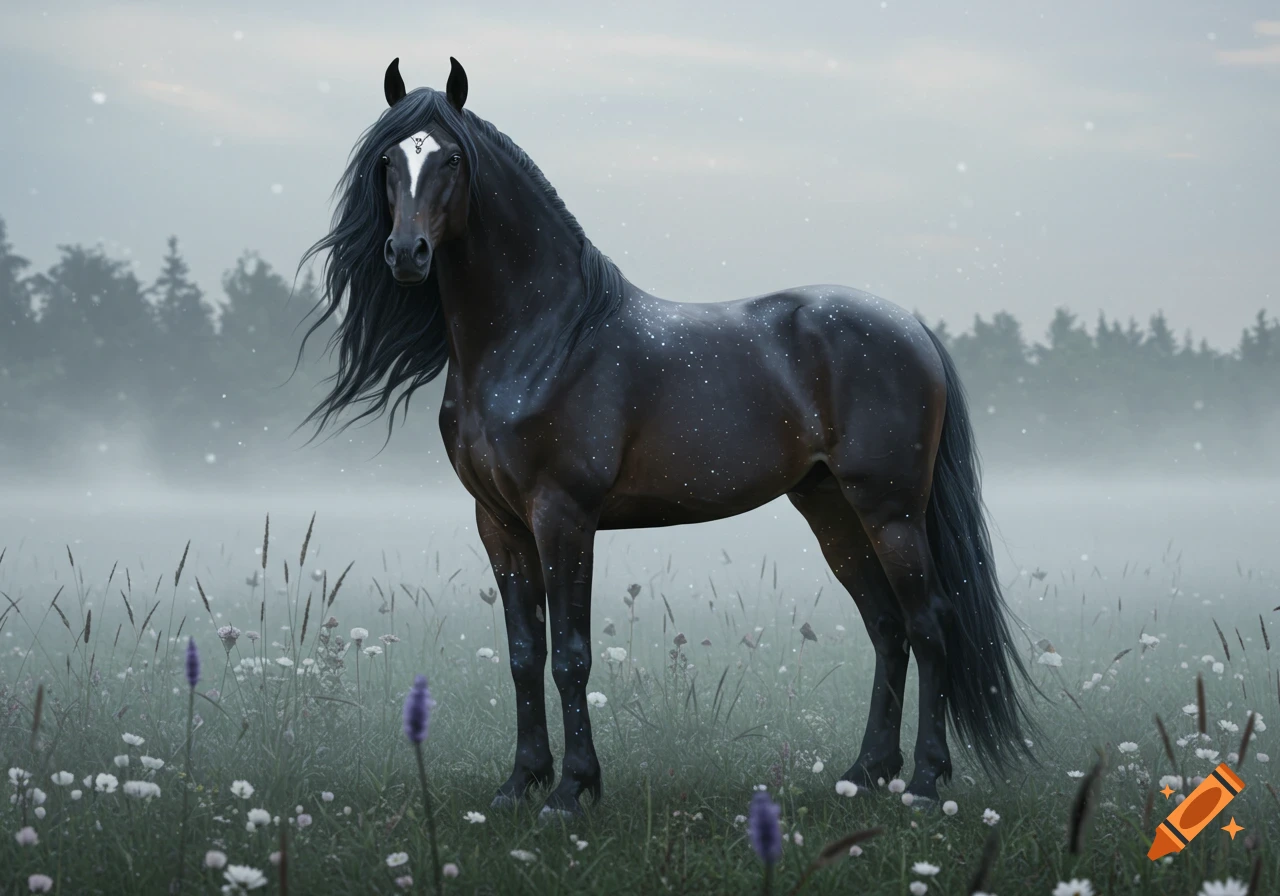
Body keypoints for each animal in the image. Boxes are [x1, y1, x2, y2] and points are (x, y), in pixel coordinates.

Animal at [299, 57, 1036, 817]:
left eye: (450, 158)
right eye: (388, 161)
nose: (406, 253)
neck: (543, 338)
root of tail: (913, 328)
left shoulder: (563, 515)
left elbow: (571, 655)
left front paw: (572, 789)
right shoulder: (498, 522)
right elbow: (525, 654)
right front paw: (518, 784)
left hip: (889, 509)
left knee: (930, 624)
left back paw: (923, 781)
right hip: (831, 507)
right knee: (887, 628)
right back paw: (865, 772)